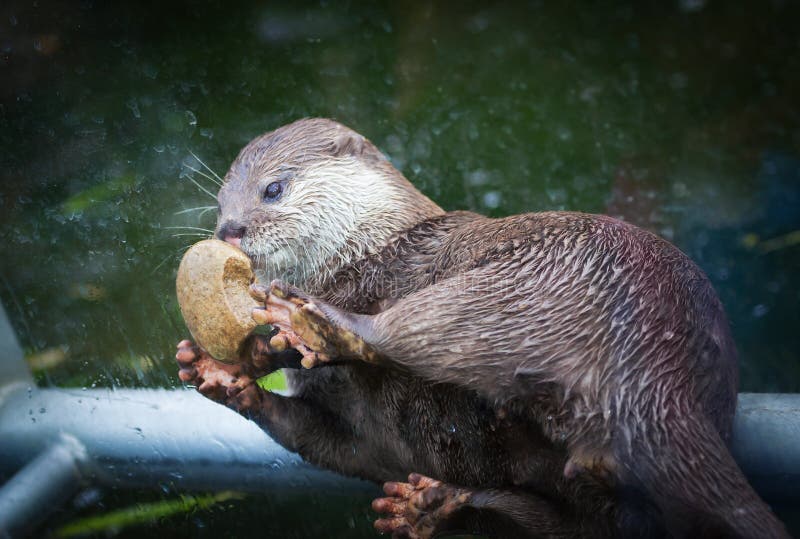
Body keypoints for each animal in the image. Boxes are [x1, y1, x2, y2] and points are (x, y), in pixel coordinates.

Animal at [176, 118, 788, 538]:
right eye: (219, 202)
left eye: (272, 189)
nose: (229, 229)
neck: (370, 243)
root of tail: (663, 358)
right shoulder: (362, 440)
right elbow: (332, 445)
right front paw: (223, 378)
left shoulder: (384, 274)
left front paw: (266, 348)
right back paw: (433, 510)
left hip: (509, 291)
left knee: (408, 331)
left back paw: (318, 325)